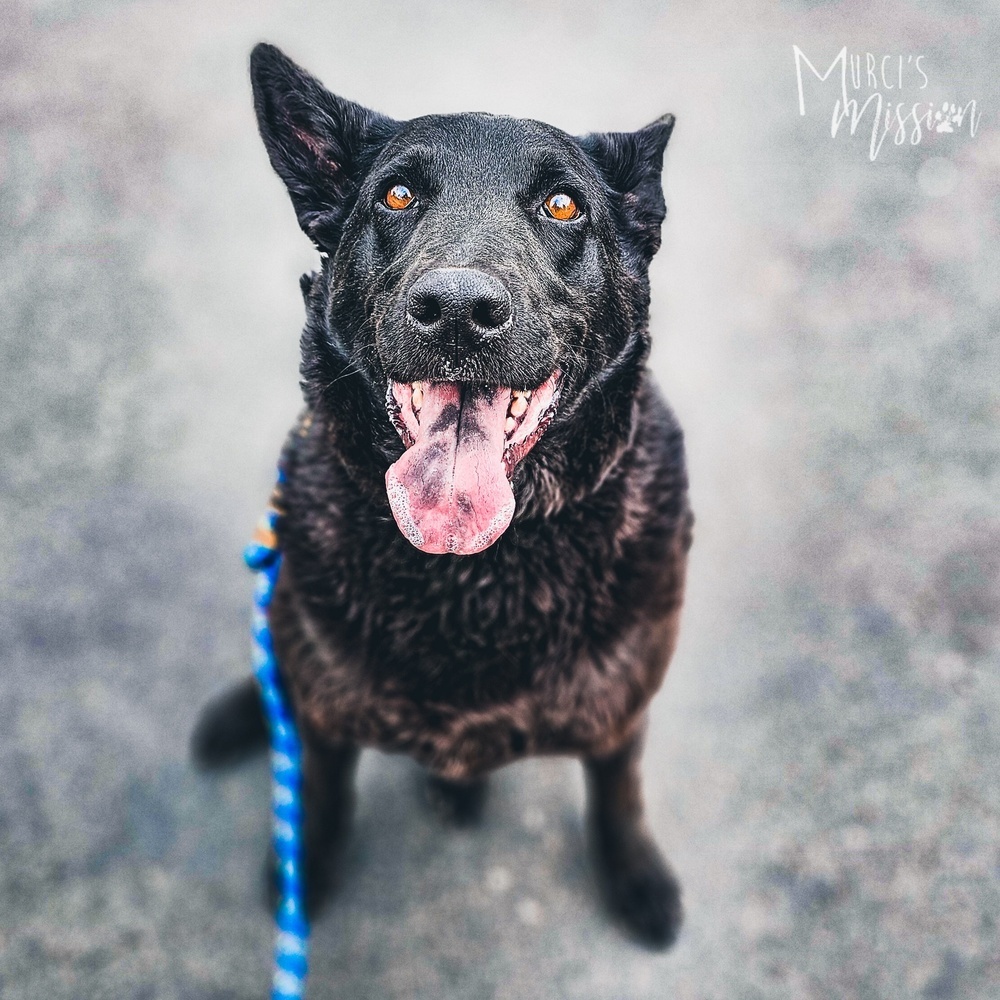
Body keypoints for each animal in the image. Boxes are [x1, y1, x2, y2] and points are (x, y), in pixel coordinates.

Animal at [195, 43, 696, 948]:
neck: (472, 574)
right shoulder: (326, 717)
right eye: (397, 195)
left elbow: (618, 793)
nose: (458, 309)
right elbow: (318, 790)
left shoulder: (619, 712)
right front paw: (303, 868)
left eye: (563, 205)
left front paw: (635, 875)